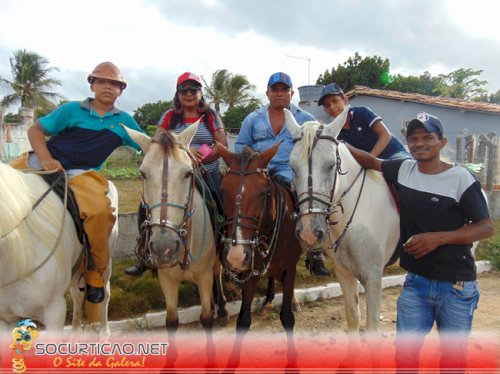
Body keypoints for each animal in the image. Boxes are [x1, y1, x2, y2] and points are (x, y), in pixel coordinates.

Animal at [124, 121, 228, 332]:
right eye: (142, 173)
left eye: (188, 173)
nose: (164, 248)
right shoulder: (166, 279)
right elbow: (171, 320)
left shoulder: (204, 277)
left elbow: (206, 318)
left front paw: (214, 311)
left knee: (217, 272)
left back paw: (221, 307)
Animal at [218, 142, 302, 334]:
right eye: (223, 190)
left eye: (263, 193)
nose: (236, 256)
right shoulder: (250, 274)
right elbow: (243, 321)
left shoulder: (290, 270)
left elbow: (287, 317)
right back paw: (268, 301)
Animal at [286, 106, 398, 332]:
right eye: (292, 166)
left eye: (331, 165)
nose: (309, 233)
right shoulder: (344, 274)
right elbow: (353, 318)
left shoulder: (373, 277)